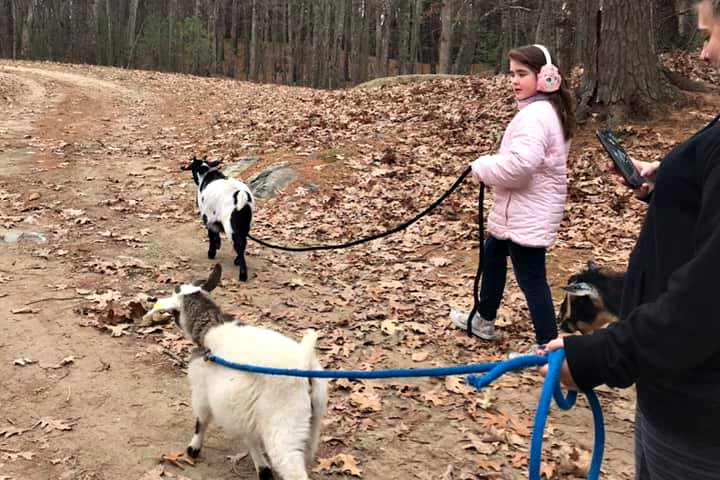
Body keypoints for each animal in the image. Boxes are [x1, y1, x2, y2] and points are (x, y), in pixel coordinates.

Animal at [147, 264, 328, 480]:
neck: (210, 327)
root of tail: (305, 367)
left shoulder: (202, 391)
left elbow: (201, 420)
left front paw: (193, 449)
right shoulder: (242, 406)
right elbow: (249, 436)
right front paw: (262, 466)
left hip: (284, 427)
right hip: (312, 425)